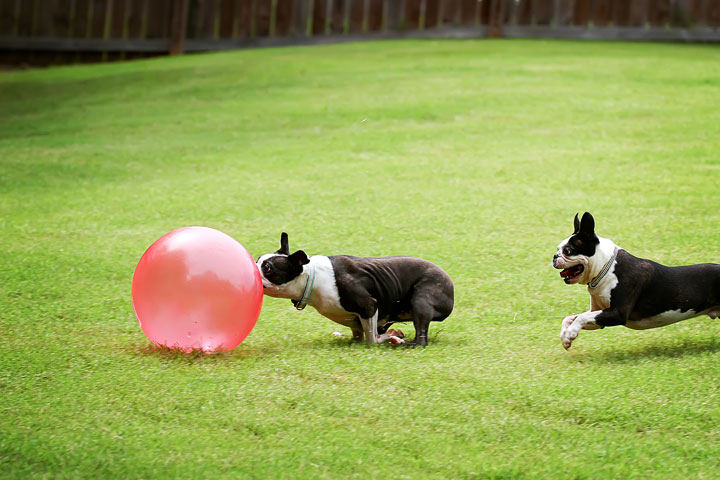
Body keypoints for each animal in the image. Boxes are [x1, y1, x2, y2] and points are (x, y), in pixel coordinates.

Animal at [256, 232, 452, 344]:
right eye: (258, 260)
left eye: (268, 268)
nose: (254, 266)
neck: (312, 276)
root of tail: (450, 283)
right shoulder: (356, 320)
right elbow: (359, 334)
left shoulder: (369, 306)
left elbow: (372, 339)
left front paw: (387, 337)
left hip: (421, 300)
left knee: (421, 339)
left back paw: (401, 342)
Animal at [556, 212, 716, 350]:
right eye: (558, 249)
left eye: (568, 251)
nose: (554, 256)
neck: (606, 267)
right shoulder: (598, 317)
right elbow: (569, 318)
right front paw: (565, 337)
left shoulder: (617, 313)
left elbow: (581, 317)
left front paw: (570, 333)